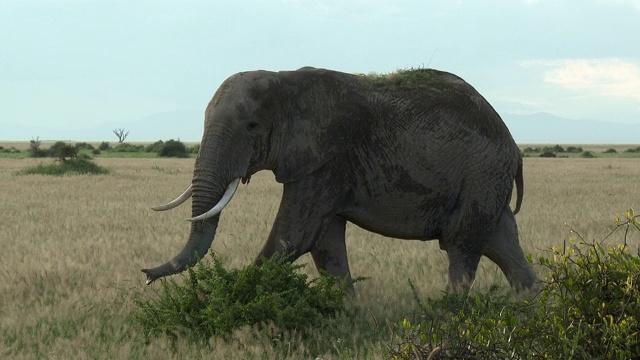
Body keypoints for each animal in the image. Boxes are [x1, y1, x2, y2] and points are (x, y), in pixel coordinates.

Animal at [142, 67, 536, 292]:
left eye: (252, 126)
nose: (145, 274)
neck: (286, 81)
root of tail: (515, 148)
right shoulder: (325, 166)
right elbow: (324, 244)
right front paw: (343, 318)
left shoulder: (329, 158)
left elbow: (293, 237)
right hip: (487, 182)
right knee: (502, 244)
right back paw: (528, 311)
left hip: (481, 175)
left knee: (462, 247)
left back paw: (448, 318)